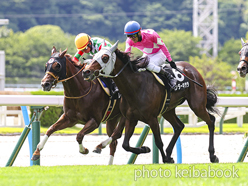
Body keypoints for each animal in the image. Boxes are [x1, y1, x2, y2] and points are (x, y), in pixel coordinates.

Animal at [83, 40, 219, 163]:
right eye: (94, 56)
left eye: (105, 57)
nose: (86, 71)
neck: (135, 87)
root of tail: (192, 69)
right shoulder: (131, 118)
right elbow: (125, 144)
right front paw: (145, 149)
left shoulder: (152, 118)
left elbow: (158, 142)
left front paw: (164, 158)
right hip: (168, 109)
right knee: (179, 126)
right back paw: (169, 153)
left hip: (197, 105)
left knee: (211, 121)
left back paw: (212, 155)